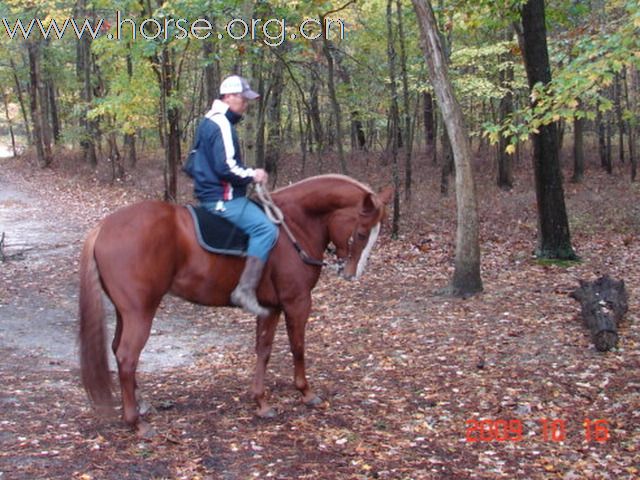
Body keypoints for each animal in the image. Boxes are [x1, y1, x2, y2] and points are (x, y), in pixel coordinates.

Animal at [78, 174, 392, 434]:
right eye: (362, 233)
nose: (352, 273)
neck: (294, 225)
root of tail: (103, 227)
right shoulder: (297, 301)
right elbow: (298, 347)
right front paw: (305, 392)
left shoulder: (271, 307)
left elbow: (263, 350)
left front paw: (261, 402)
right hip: (140, 312)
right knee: (127, 357)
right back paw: (136, 422)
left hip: (125, 312)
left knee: (117, 350)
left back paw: (140, 405)